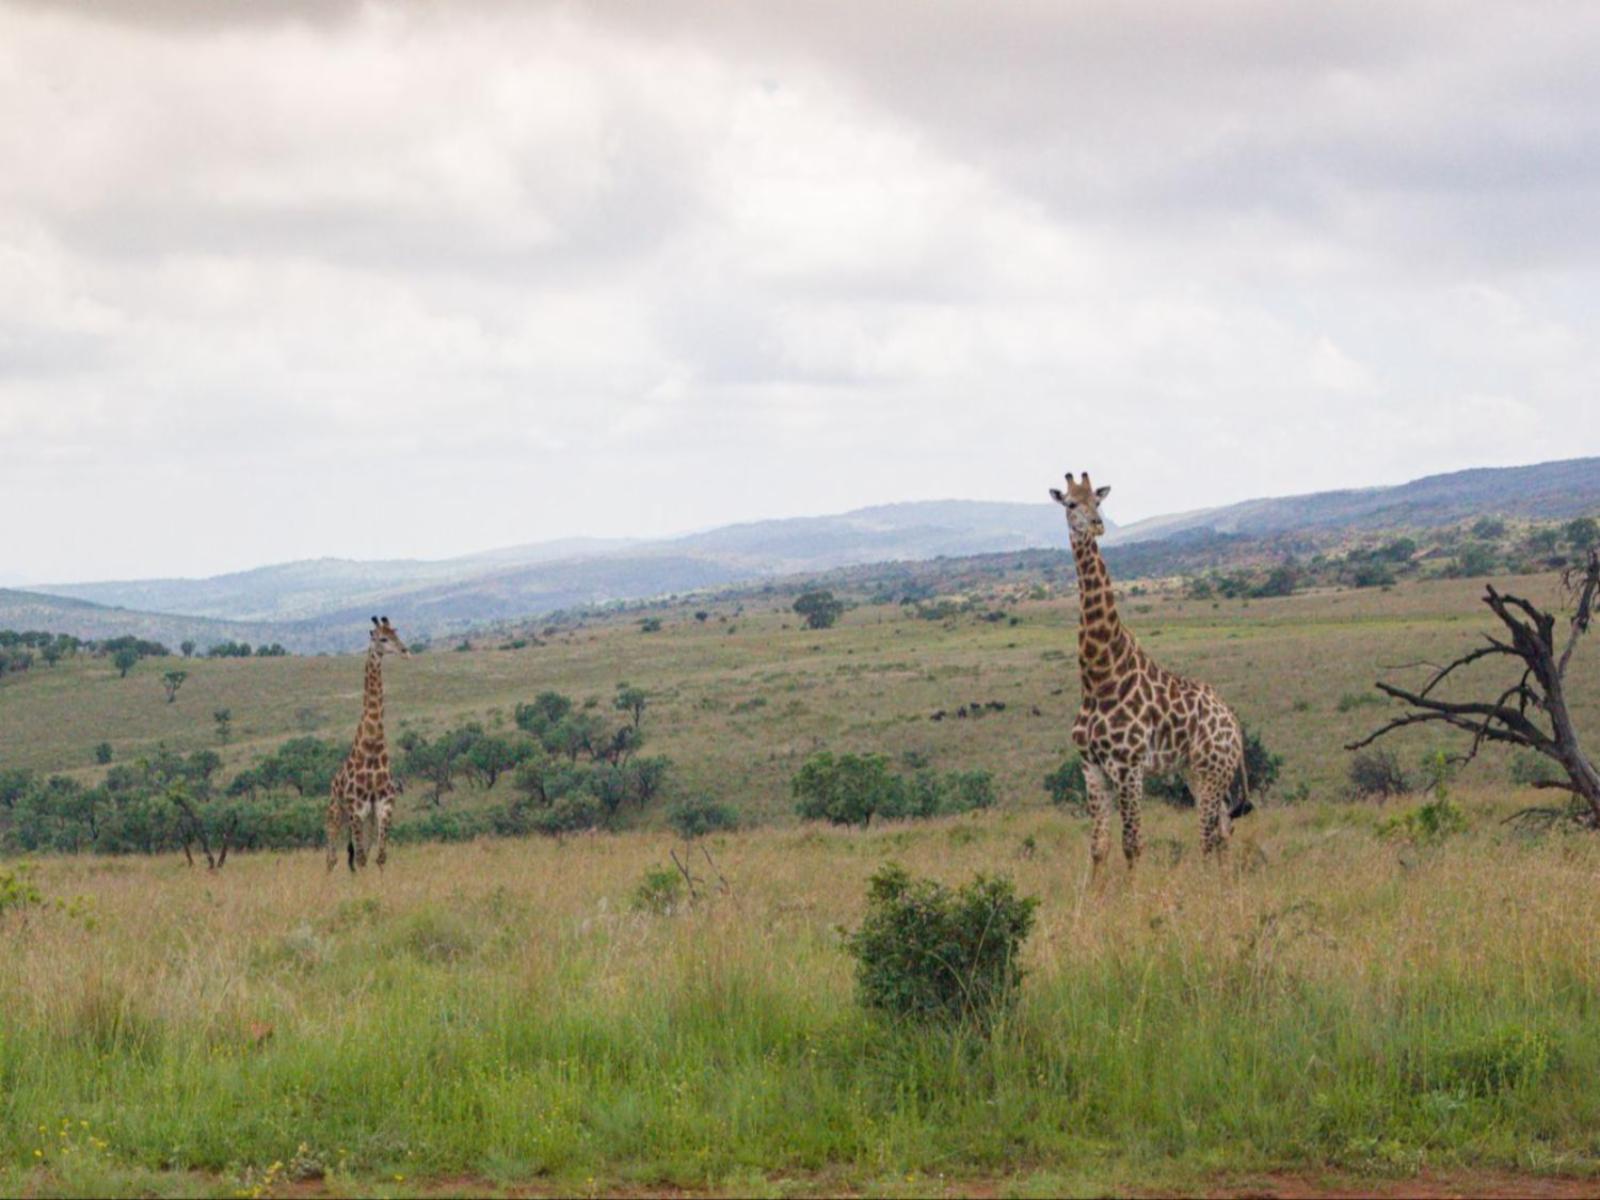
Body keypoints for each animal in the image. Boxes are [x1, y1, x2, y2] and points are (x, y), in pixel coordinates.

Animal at [326, 616, 408, 873]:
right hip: (336, 812)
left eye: (396, 634)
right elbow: (361, 859)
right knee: (332, 857)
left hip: (367, 819)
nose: (405, 651)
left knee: (354, 856)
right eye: (382, 638)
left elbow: (379, 856)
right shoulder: (357, 809)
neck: (372, 749)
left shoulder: (383, 807)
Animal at [1049, 472, 1248, 872]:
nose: (1097, 525)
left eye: (1098, 501)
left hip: (1212, 770)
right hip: (1196, 772)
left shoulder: (1129, 766)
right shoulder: (1091, 768)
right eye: (1071, 503)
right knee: (1223, 828)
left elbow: (1132, 844)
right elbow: (1099, 846)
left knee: (1207, 836)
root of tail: (1233, 723)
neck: (1100, 675)